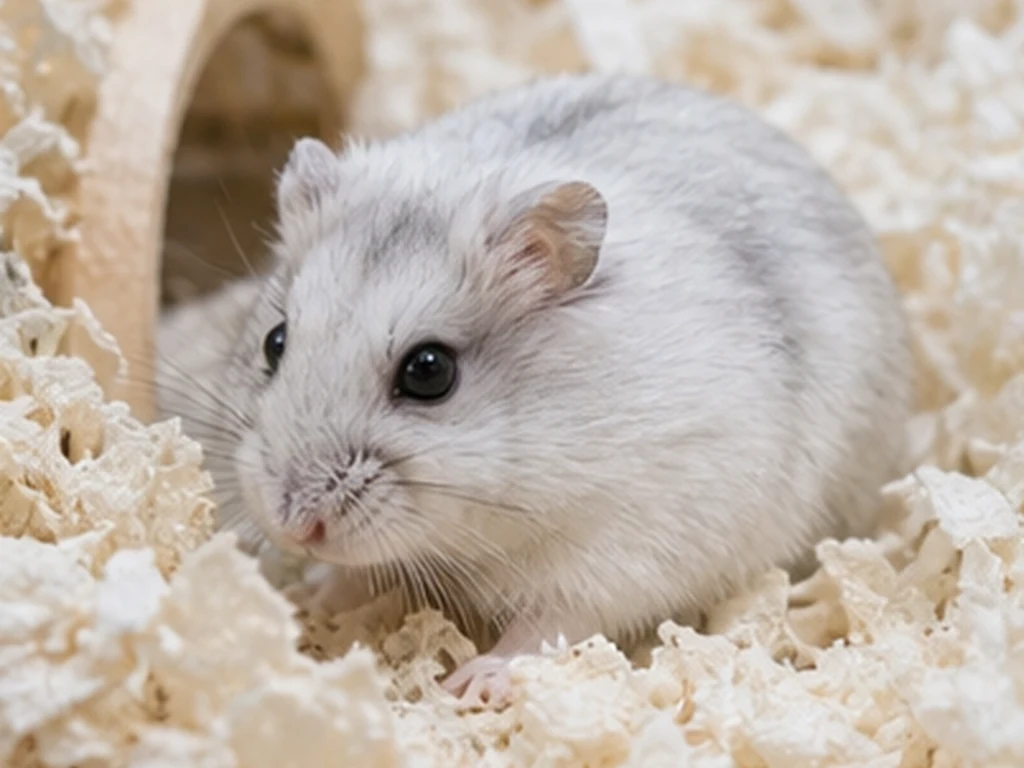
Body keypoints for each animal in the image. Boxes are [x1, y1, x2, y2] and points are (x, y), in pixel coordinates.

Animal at [157, 72, 912, 704]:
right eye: (274, 342)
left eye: (429, 371)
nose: (294, 525)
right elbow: (356, 574)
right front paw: (310, 596)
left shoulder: (629, 546)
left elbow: (552, 622)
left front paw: (472, 684)